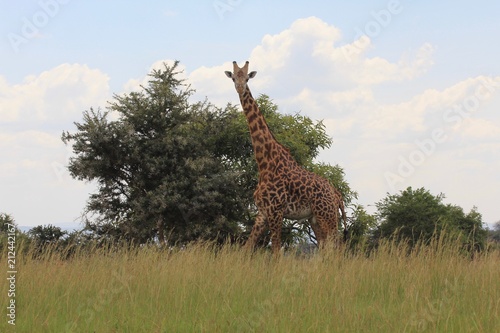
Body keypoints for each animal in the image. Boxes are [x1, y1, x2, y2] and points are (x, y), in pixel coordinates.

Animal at [225, 60, 346, 252]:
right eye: (233, 78)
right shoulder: (263, 212)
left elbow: (276, 250)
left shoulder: (276, 211)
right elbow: (246, 247)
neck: (265, 163)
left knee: (337, 246)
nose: (240, 88)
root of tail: (337, 194)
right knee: (325, 246)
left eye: (247, 78)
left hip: (327, 215)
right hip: (315, 217)